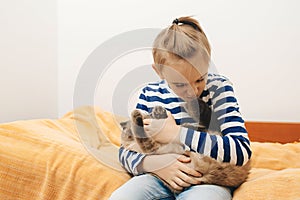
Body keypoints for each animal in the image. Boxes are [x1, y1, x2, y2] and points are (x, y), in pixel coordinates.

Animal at [119, 98, 251, 191]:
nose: (151, 114)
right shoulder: (150, 147)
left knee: (205, 116)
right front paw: (136, 114)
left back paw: (189, 103)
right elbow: (139, 130)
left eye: (149, 118)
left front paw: (158, 112)